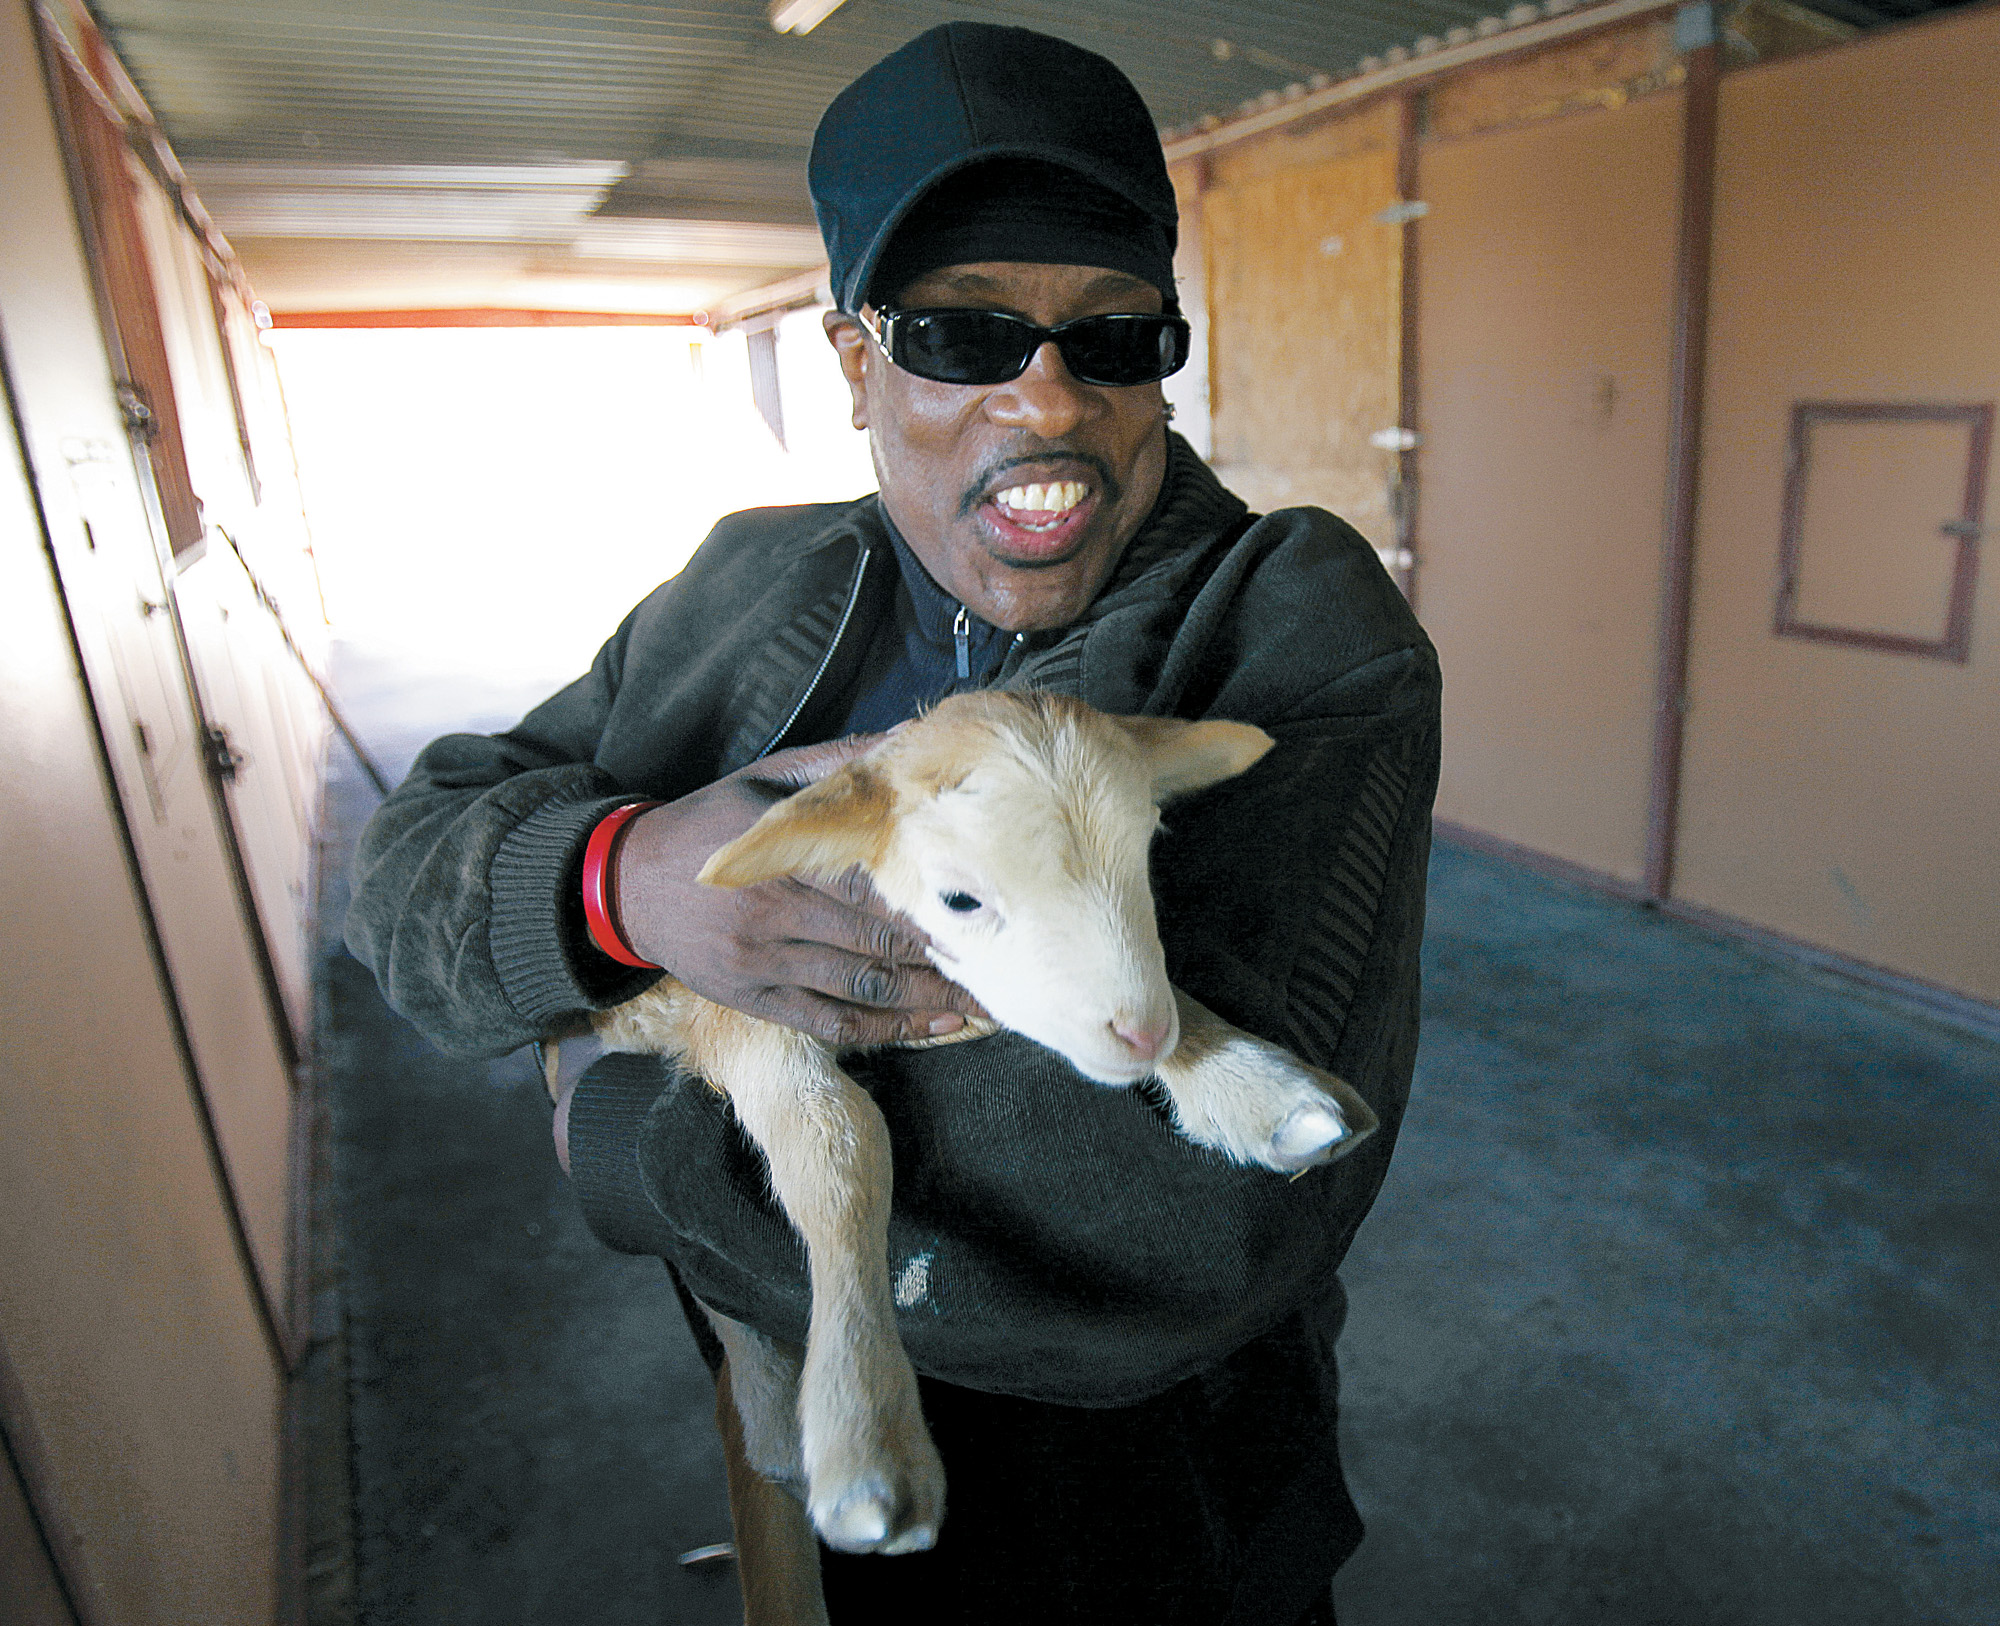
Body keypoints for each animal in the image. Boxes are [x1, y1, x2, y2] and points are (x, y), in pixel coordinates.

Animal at [584, 692, 1384, 1552]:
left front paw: (1252, 1083)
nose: (1142, 1036)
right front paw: (866, 1437)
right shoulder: (741, 1007)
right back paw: (773, 1424)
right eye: (960, 900)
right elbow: (835, 1154)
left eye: (1143, 856)